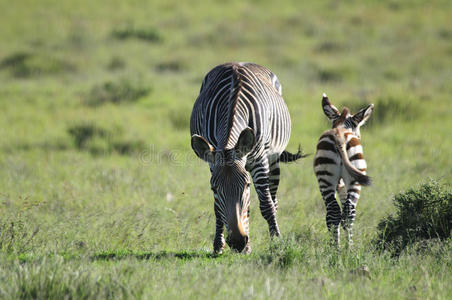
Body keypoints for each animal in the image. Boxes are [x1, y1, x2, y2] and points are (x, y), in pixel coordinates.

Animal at [191, 62, 304, 253]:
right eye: (214, 189)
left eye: (246, 185)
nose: (237, 242)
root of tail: (238, 62)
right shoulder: (213, 164)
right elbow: (218, 209)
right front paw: (218, 245)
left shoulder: (260, 160)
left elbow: (266, 205)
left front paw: (277, 242)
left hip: (273, 161)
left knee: (273, 201)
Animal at [314, 94, 374, 246]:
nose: (359, 137)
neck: (341, 126)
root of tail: (340, 136)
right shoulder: (341, 183)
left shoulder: (340, 183)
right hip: (351, 179)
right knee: (344, 212)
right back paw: (344, 249)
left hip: (329, 179)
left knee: (338, 211)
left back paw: (340, 249)